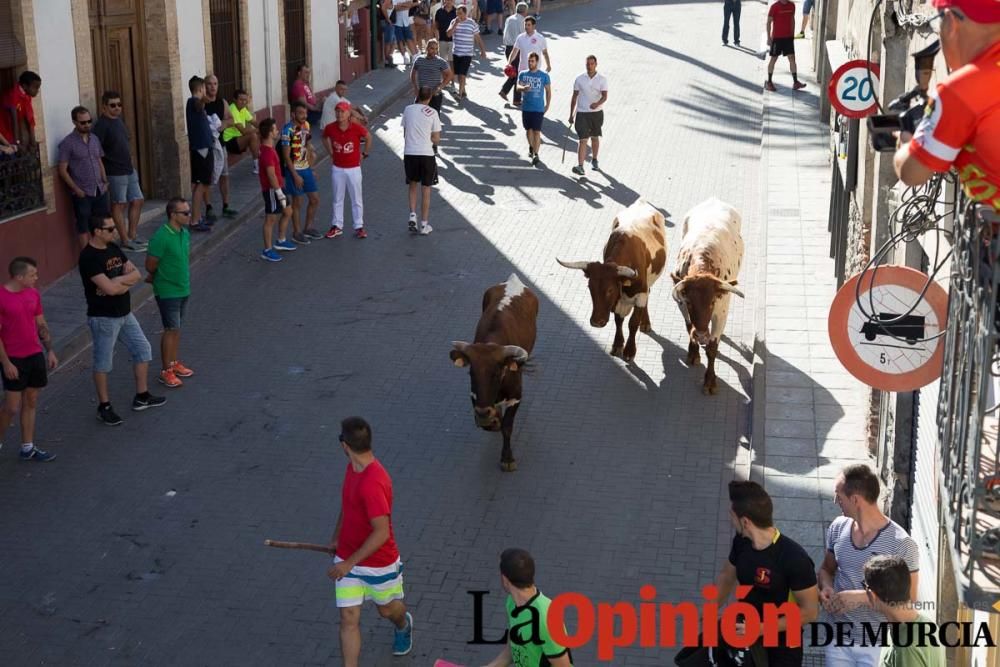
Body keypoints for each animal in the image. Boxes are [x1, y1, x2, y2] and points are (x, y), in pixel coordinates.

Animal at [450, 274, 540, 472]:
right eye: (471, 373)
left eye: (497, 374)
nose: (484, 413)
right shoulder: (475, 397)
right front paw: (492, 420)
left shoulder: (516, 397)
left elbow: (507, 426)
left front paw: (507, 458)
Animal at [560, 201, 668, 362]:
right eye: (590, 287)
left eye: (610, 289)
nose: (596, 322)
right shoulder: (618, 300)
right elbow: (618, 320)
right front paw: (617, 345)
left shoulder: (640, 294)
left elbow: (633, 323)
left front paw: (630, 351)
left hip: (649, 283)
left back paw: (645, 323)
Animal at [672, 198, 744, 396]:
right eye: (689, 302)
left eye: (713, 301)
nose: (702, 335)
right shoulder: (681, 304)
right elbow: (689, 326)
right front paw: (693, 352)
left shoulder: (721, 312)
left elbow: (712, 349)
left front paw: (710, 381)